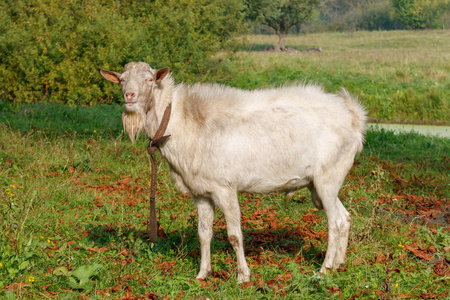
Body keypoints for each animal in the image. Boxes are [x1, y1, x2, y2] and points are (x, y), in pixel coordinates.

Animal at [101, 62, 366, 282]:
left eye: (149, 79)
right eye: (122, 79)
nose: (129, 96)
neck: (182, 122)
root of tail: (354, 117)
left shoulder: (225, 187)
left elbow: (234, 235)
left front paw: (242, 276)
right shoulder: (201, 192)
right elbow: (204, 233)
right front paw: (202, 274)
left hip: (327, 176)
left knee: (336, 221)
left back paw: (323, 270)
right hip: (323, 183)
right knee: (345, 217)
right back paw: (339, 264)